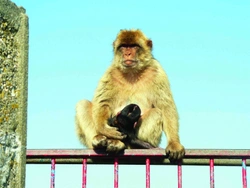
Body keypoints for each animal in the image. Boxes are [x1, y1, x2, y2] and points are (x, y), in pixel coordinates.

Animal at [75, 28, 185, 161]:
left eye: (133, 46)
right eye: (123, 47)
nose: (127, 53)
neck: (132, 72)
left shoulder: (158, 72)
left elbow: (165, 106)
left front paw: (174, 143)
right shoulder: (111, 72)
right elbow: (103, 102)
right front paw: (104, 129)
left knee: (156, 112)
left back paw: (133, 143)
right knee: (83, 104)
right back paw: (100, 140)